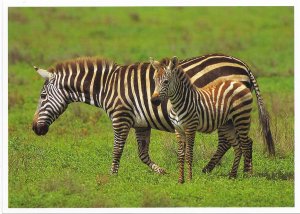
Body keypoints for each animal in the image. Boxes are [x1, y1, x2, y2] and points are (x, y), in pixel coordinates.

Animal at [32, 54, 268, 176]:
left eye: (42, 96)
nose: (35, 129)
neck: (106, 86)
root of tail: (241, 63)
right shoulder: (141, 123)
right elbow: (142, 154)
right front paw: (160, 171)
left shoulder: (120, 117)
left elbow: (117, 149)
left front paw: (112, 176)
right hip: (226, 115)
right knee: (234, 142)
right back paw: (214, 170)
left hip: (228, 111)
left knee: (235, 142)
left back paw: (239, 172)